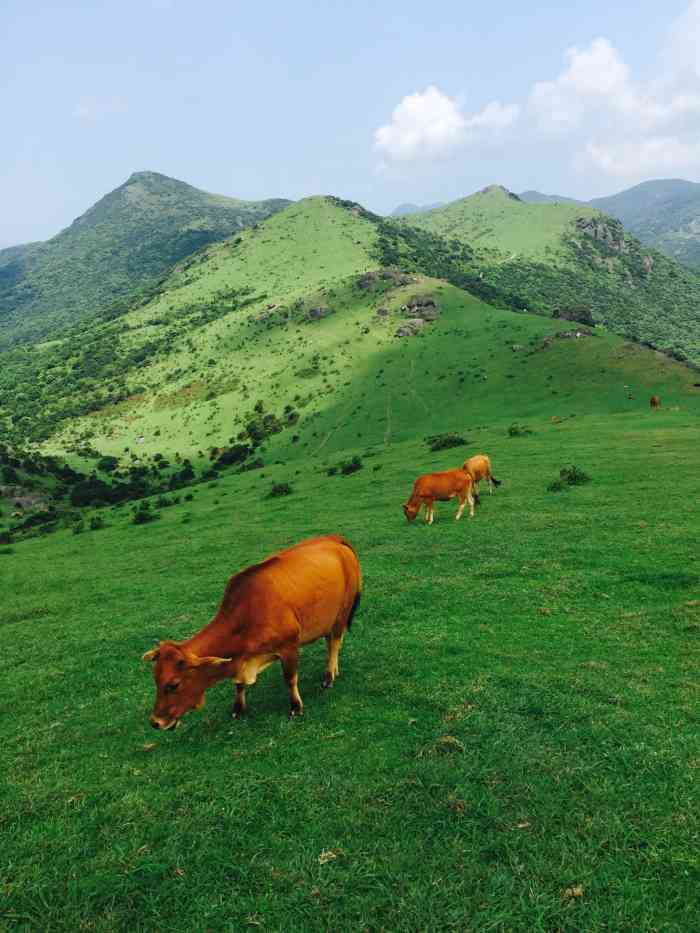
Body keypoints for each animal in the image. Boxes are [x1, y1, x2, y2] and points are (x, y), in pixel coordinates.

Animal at [141, 532, 360, 728]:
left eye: (173, 685)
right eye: (155, 680)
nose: (155, 722)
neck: (247, 614)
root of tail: (335, 539)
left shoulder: (289, 647)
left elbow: (290, 679)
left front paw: (296, 707)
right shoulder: (240, 660)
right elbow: (238, 684)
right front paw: (238, 708)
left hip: (342, 613)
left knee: (334, 643)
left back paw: (329, 676)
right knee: (330, 642)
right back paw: (334, 670)